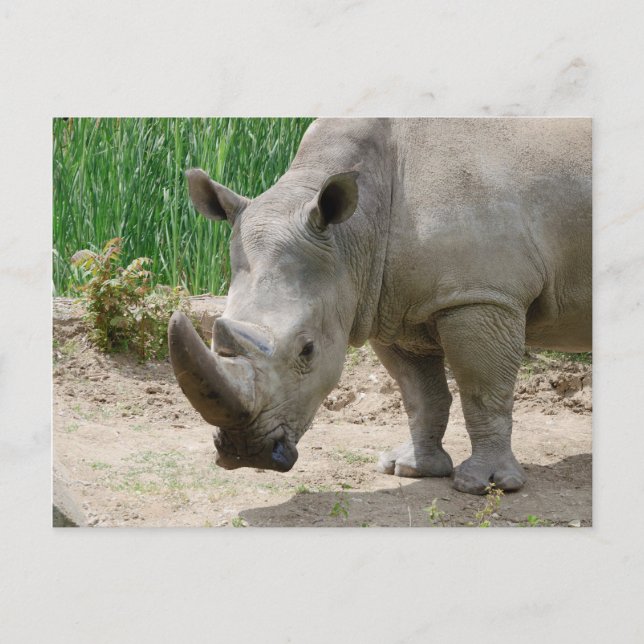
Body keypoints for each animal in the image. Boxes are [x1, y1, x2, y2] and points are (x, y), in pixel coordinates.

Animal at [168, 118, 591, 495]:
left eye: (308, 350)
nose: (246, 453)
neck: (352, 233)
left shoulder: (481, 295)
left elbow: (483, 391)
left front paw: (485, 486)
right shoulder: (393, 305)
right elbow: (419, 393)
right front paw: (410, 469)